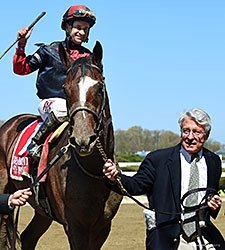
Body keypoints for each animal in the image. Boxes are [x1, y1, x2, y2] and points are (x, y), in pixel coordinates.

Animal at [0, 41, 122, 250]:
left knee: (28, 237)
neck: (93, 170)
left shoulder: (103, 227)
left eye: (99, 88)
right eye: (65, 89)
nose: (83, 139)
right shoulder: (75, 227)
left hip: (41, 209)